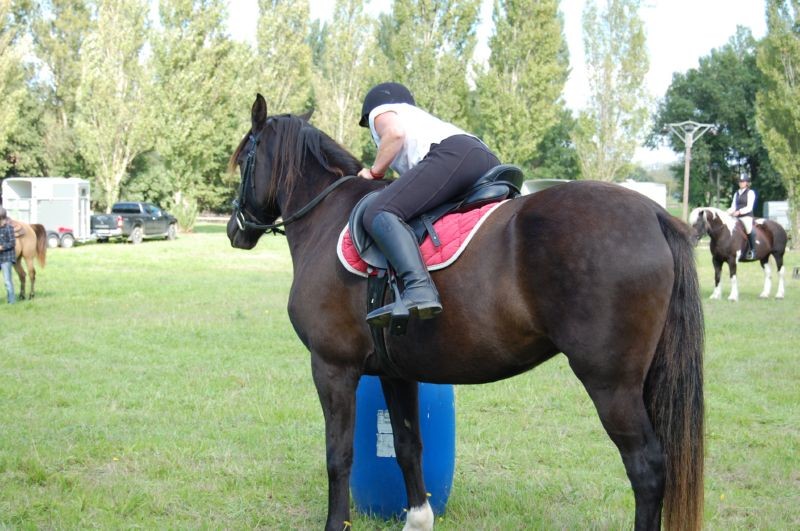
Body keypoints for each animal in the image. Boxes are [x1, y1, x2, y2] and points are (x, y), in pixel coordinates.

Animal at [227, 95, 704, 531]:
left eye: (244, 157)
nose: (235, 230)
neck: (327, 218)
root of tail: (655, 214)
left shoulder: (333, 368)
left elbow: (338, 455)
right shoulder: (395, 373)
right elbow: (407, 446)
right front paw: (418, 519)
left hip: (611, 383)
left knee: (646, 468)